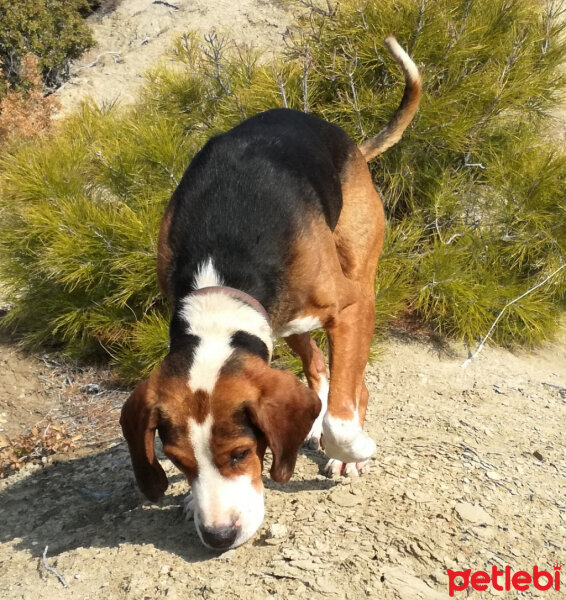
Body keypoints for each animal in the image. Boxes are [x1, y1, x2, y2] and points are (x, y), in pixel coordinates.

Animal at [121, 35, 422, 552]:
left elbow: (343, 418)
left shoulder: (349, 309)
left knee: (352, 384)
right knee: (317, 366)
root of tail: (348, 141)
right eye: (178, 461)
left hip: (355, 276)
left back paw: (344, 446)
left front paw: (355, 448)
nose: (218, 537)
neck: (222, 266)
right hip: (284, 321)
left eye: (241, 453)